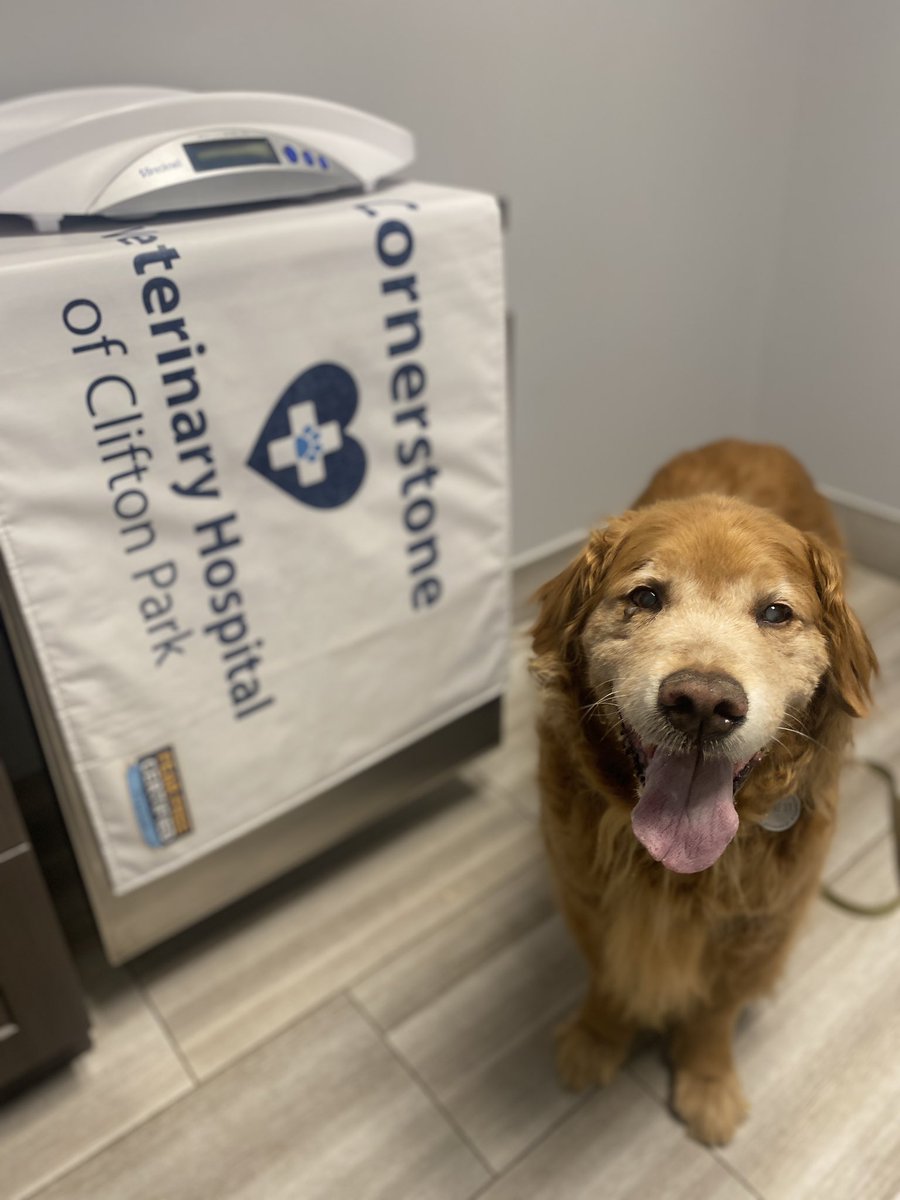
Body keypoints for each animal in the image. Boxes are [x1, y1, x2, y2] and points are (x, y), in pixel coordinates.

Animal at [532, 439, 878, 1142]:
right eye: (645, 597)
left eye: (775, 612)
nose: (702, 703)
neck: (674, 870)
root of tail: (755, 441)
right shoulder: (586, 890)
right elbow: (609, 974)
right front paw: (597, 1038)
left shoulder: (761, 922)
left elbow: (716, 1012)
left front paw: (709, 1083)